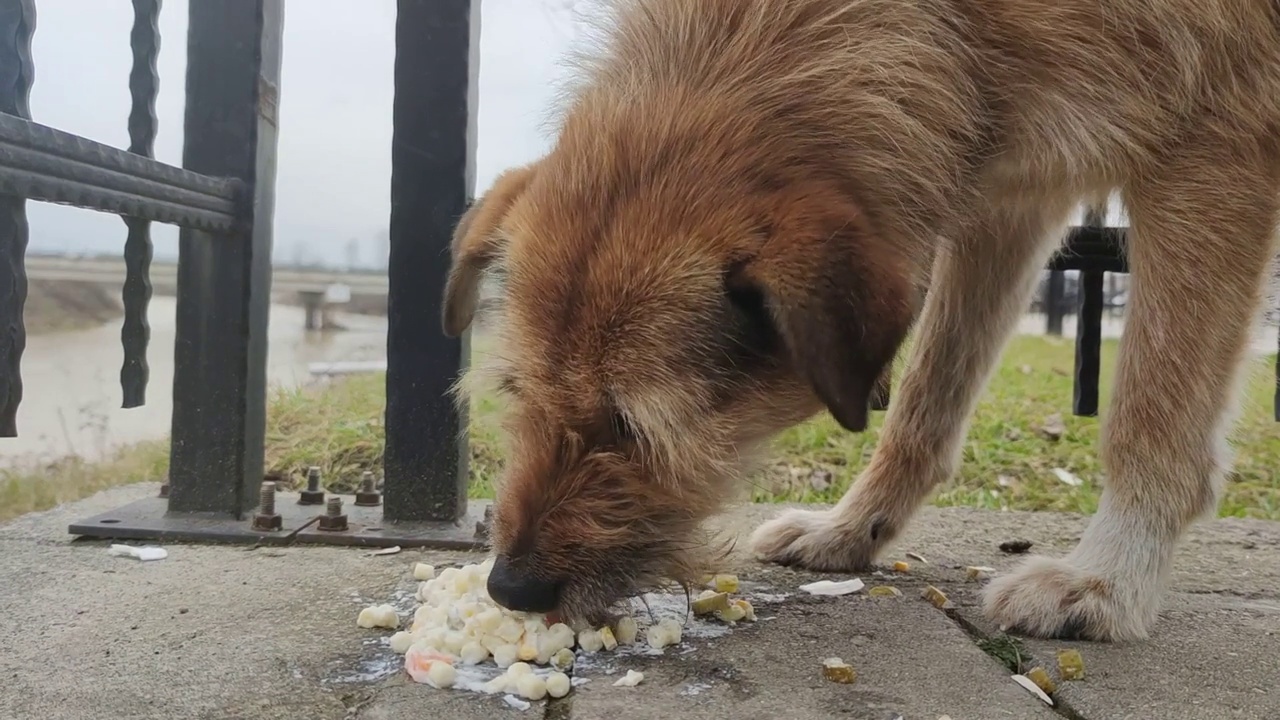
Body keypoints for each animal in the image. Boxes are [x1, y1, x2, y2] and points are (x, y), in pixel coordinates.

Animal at [440, 0, 1280, 638]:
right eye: (517, 395)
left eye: (636, 427)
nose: (510, 589)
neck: (956, 22)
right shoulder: (1005, 197)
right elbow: (924, 403)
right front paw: (852, 530)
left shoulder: (1217, 140)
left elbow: (1151, 416)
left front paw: (1106, 582)